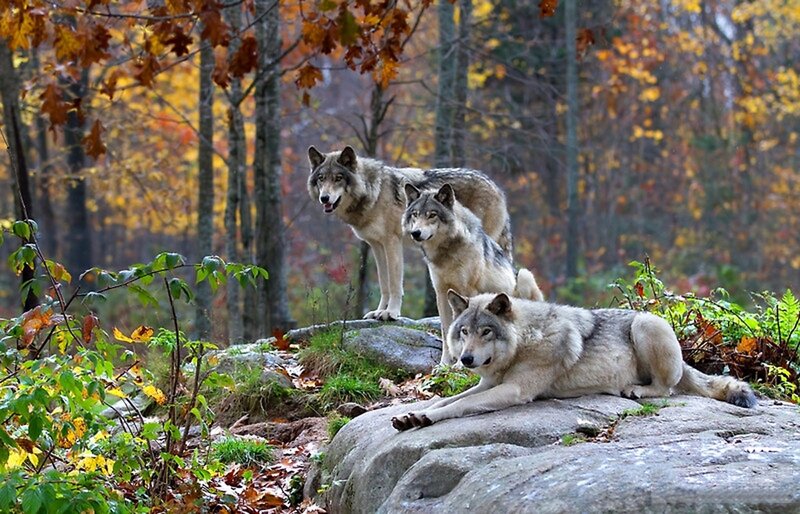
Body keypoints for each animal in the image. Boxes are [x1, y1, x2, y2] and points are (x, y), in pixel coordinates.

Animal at [307, 145, 512, 320]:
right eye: (321, 178)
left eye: (338, 178)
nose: (324, 198)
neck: (374, 192)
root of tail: (497, 187)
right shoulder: (376, 245)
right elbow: (384, 283)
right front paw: (378, 311)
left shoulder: (392, 242)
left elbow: (394, 283)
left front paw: (390, 313)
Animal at [392, 292, 757, 430]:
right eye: (464, 331)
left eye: (486, 332)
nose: (466, 359)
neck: (527, 339)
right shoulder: (488, 383)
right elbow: (447, 400)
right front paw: (413, 414)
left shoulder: (513, 391)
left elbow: (457, 406)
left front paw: (426, 417)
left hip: (644, 325)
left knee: (667, 388)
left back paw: (635, 390)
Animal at [403, 183, 543, 365]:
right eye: (415, 214)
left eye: (432, 215)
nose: (416, 233)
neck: (446, 253)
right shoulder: (441, 293)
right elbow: (446, 331)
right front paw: (444, 364)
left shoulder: (469, 290)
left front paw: (459, 365)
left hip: (525, 275)